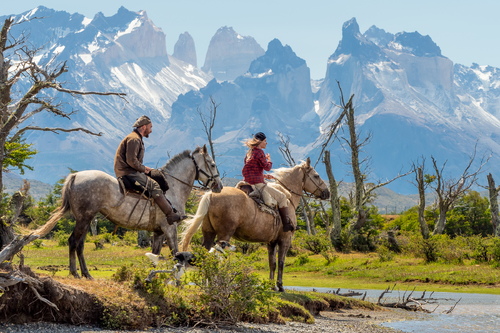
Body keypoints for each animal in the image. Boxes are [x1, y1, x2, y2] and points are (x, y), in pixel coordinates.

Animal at [33, 145, 223, 278]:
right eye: (212, 164)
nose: (219, 186)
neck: (173, 188)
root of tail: (76, 176)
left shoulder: (158, 232)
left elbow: (154, 256)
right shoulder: (170, 228)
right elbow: (176, 253)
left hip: (86, 220)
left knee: (79, 245)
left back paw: (87, 274)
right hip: (84, 219)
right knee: (73, 241)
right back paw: (75, 273)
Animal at [182, 157, 330, 290]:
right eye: (316, 176)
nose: (327, 193)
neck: (288, 197)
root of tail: (211, 195)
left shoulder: (271, 242)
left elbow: (272, 263)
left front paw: (271, 286)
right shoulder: (285, 239)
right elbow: (281, 263)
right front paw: (280, 286)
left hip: (208, 233)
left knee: (205, 254)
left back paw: (205, 283)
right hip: (224, 235)